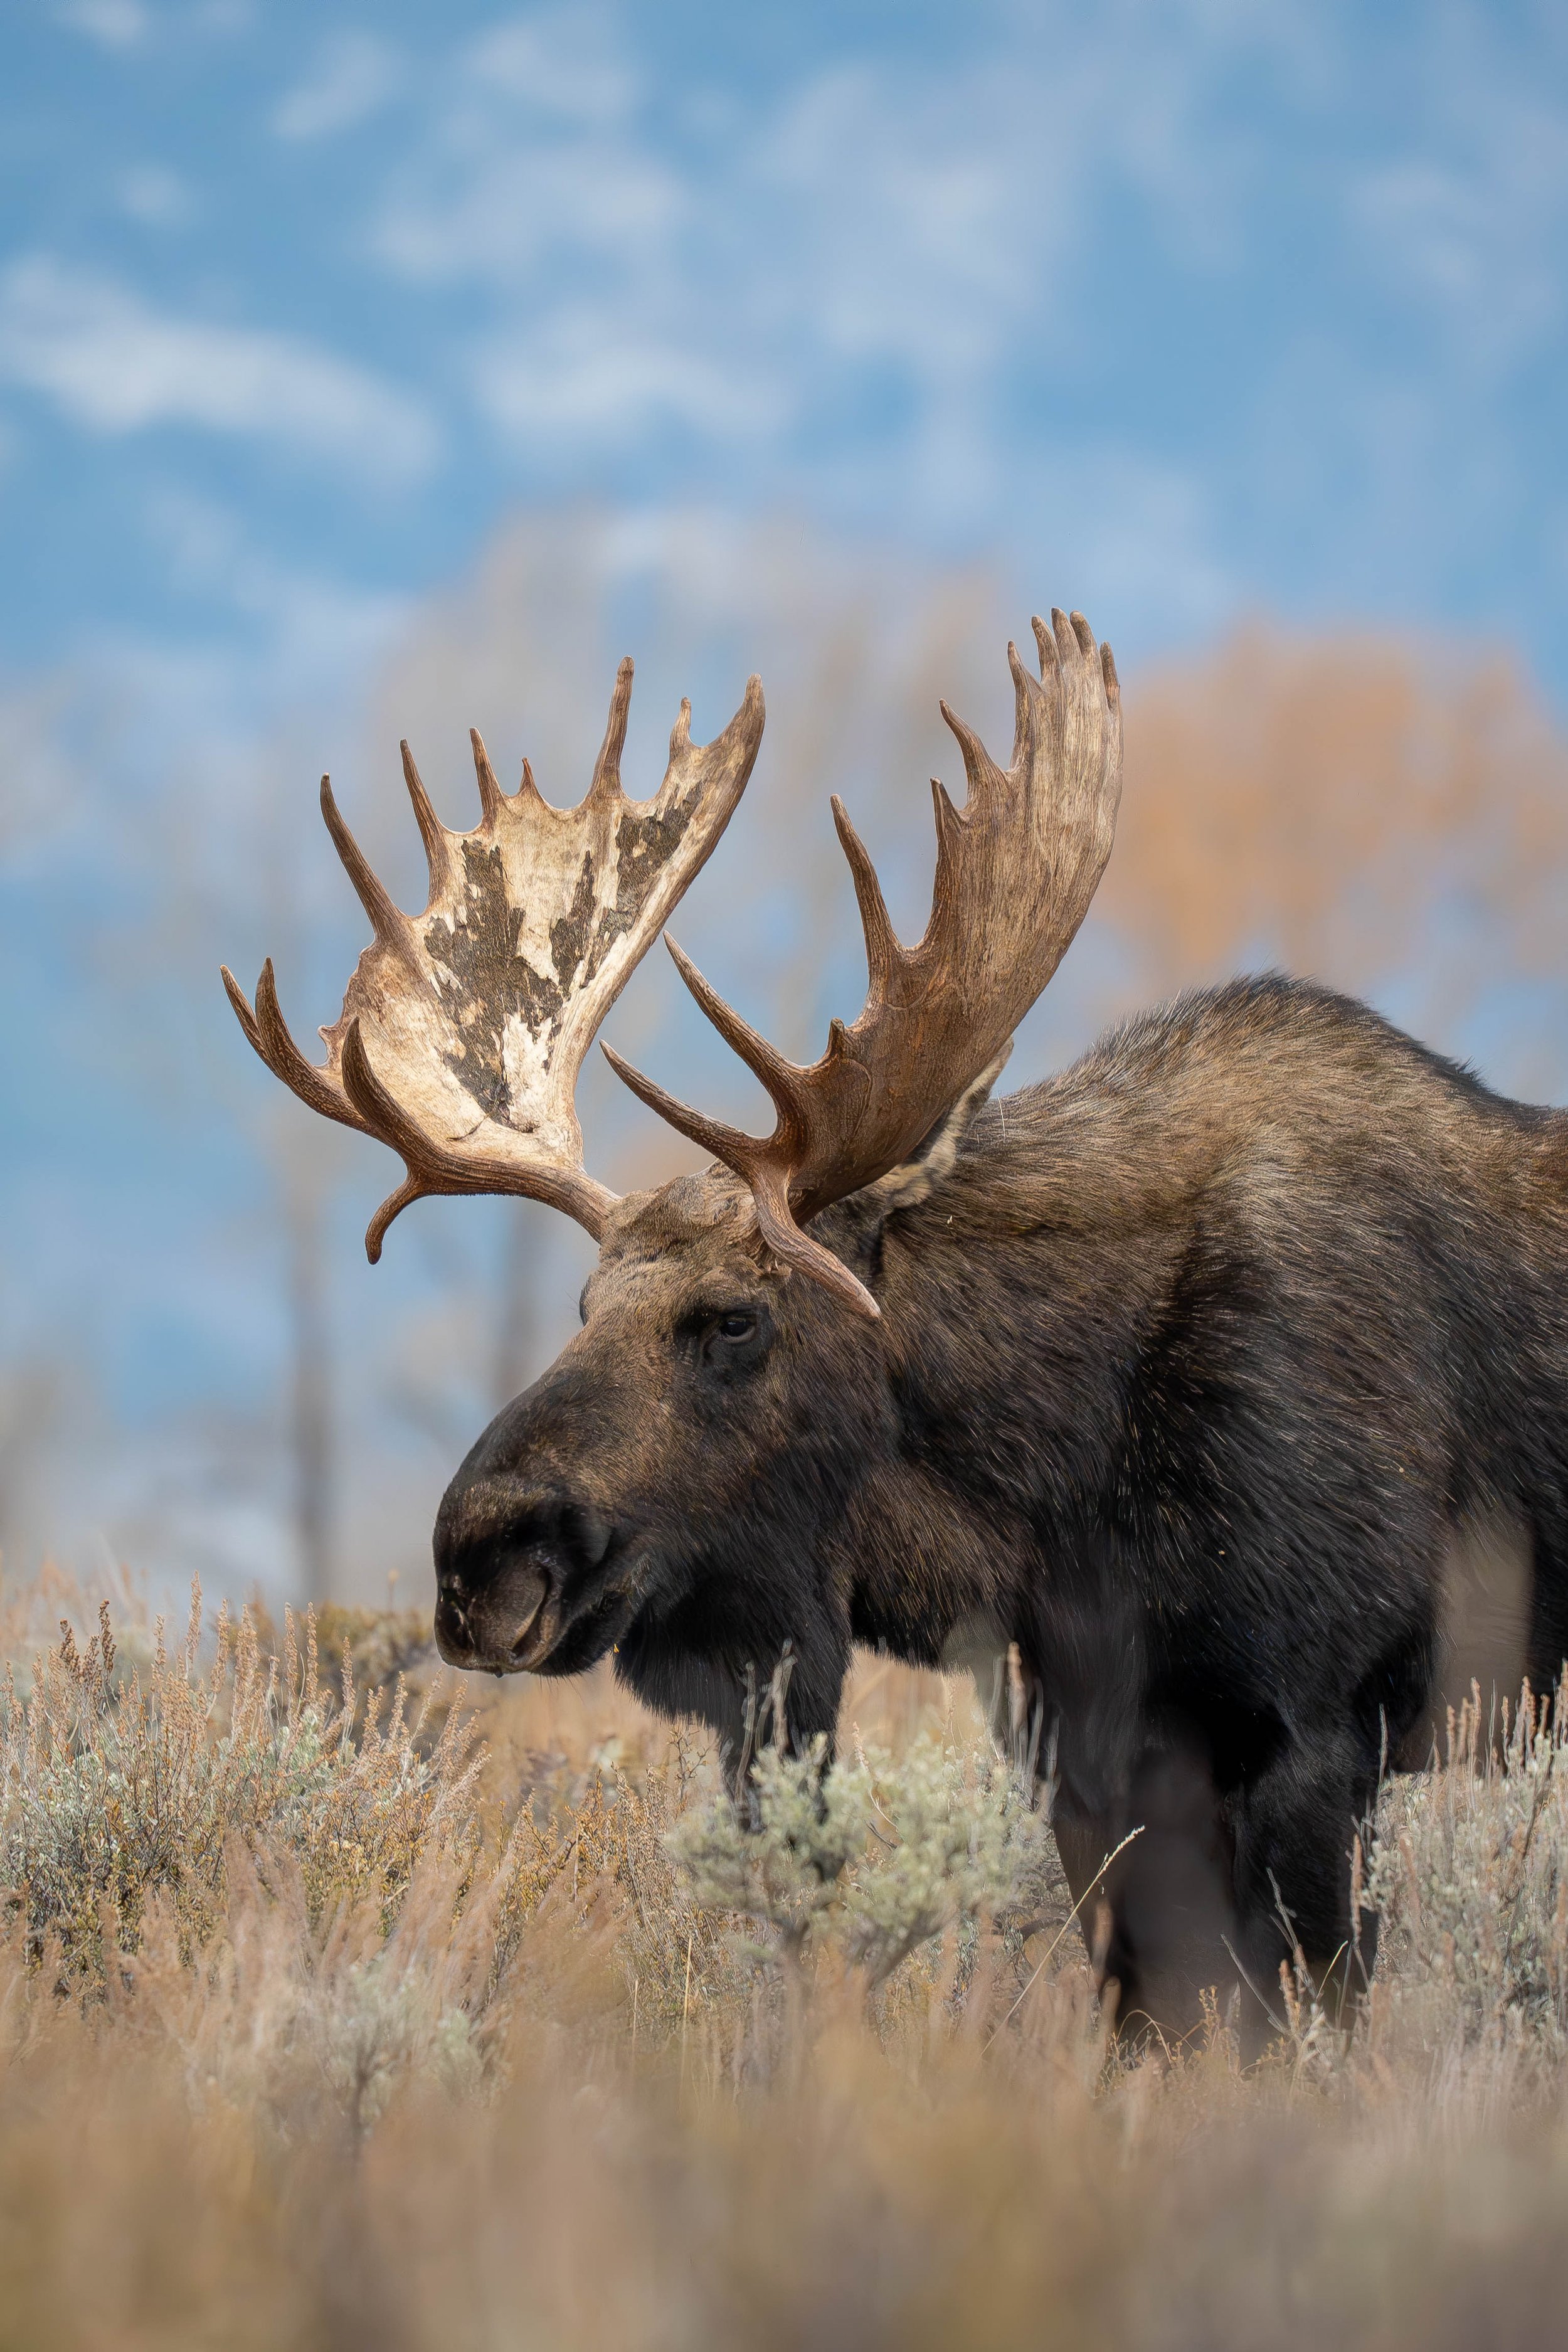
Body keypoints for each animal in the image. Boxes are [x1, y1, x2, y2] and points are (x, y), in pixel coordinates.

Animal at [223, 611, 1568, 2045]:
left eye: (735, 1319)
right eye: (584, 1305)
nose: (482, 1560)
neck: (1057, 1483)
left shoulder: (1316, 1724)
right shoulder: (1087, 1749)